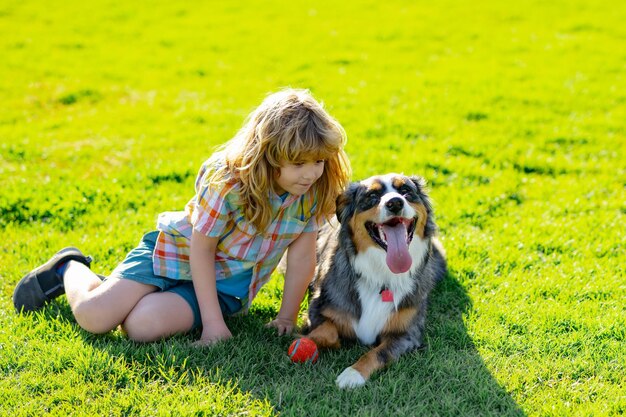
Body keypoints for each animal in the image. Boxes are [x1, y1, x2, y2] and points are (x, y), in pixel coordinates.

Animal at [302, 172, 444, 386]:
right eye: (372, 196)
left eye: (405, 191)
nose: (395, 203)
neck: (382, 274)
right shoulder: (317, 308)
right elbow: (328, 332)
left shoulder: (406, 333)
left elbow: (378, 353)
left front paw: (353, 374)